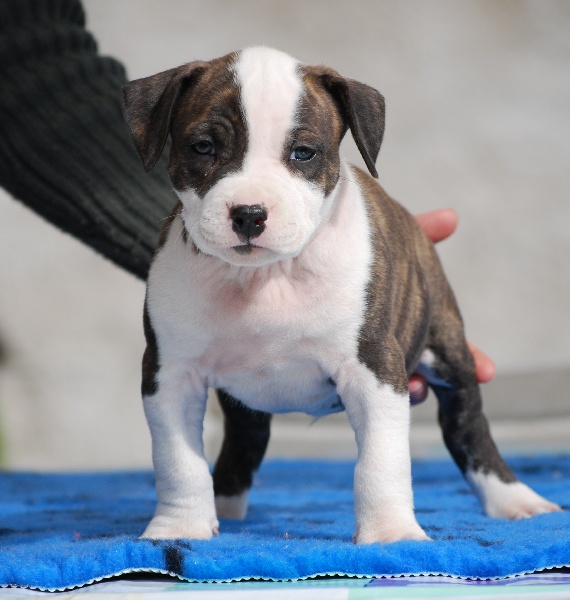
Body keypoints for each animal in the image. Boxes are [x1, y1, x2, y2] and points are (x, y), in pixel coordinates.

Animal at [121, 47, 560, 544]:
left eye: (303, 153)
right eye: (202, 147)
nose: (250, 214)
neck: (264, 277)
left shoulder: (374, 369)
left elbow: (380, 462)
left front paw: (391, 534)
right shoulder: (170, 375)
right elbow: (178, 462)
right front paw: (178, 528)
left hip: (450, 353)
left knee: (467, 428)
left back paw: (514, 499)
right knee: (245, 442)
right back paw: (226, 506)